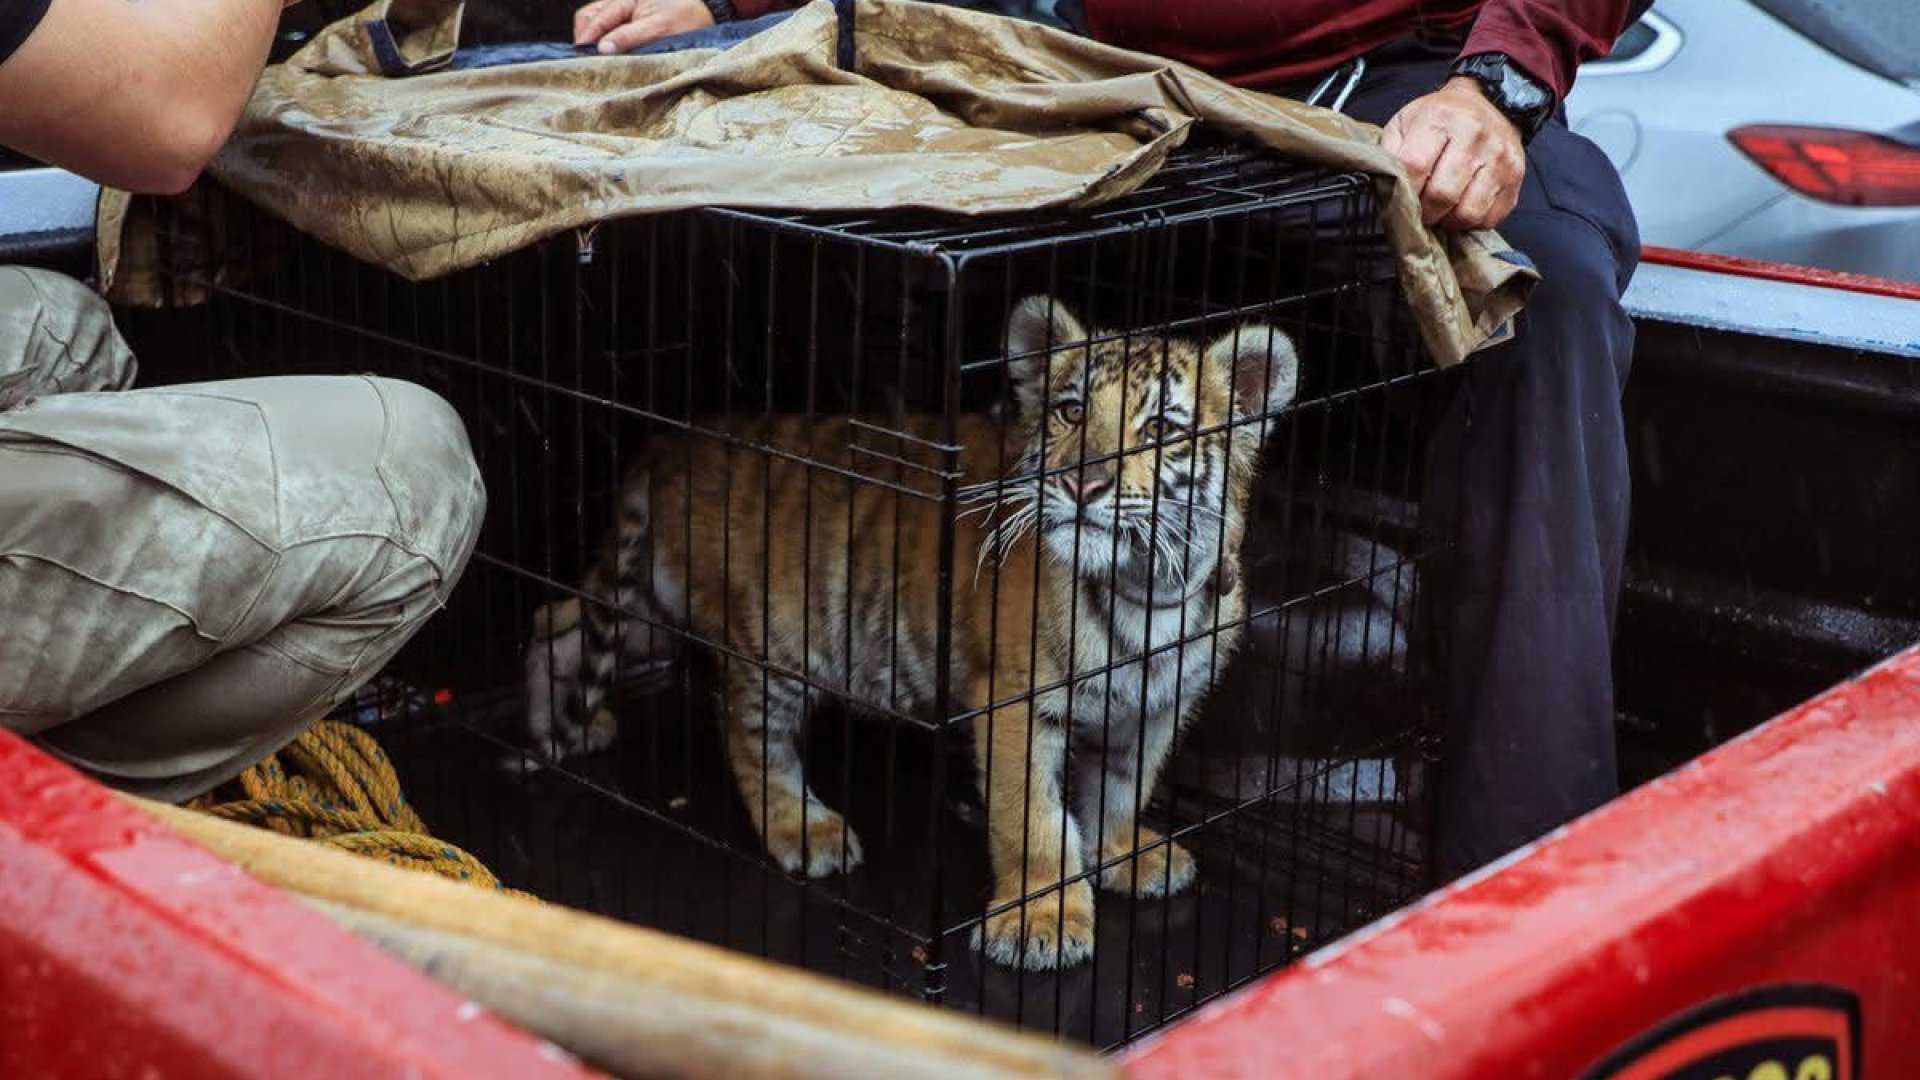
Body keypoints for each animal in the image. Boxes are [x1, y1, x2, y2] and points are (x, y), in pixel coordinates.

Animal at [523, 296, 1299, 970]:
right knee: (753, 743)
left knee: (554, 620)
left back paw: (560, 725)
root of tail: (677, 437)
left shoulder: (1159, 705)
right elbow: (1033, 819)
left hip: (651, 604)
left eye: (1162, 430)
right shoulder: (1017, 702)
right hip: (769, 643)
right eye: (1071, 411)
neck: (1150, 584)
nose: (1082, 487)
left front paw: (1123, 855)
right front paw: (1039, 923)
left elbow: (1121, 787)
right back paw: (803, 828)